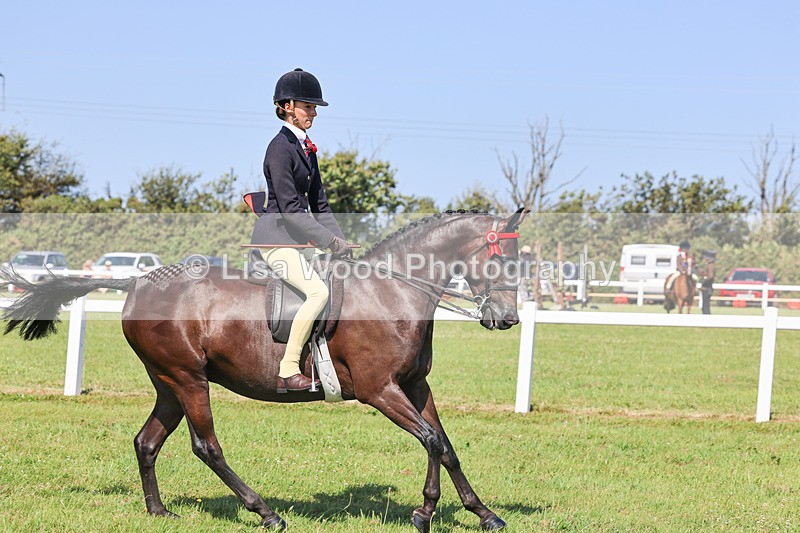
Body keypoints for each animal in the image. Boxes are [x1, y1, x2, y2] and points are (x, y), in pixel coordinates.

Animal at [2, 209, 525, 532]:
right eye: (502, 258)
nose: (507, 318)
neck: (392, 290)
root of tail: (137, 282)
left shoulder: (415, 386)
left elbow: (447, 445)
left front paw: (484, 514)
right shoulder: (380, 390)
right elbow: (432, 441)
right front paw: (424, 511)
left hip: (168, 383)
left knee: (147, 441)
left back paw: (159, 511)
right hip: (188, 380)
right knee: (206, 446)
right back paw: (265, 512)